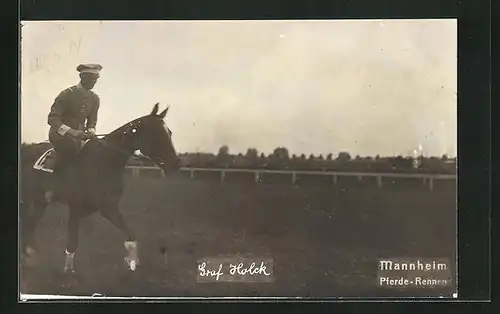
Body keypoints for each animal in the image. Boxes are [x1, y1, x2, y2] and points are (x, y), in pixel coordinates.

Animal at [19, 103, 181, 274]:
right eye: (156, 134)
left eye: (169, 132)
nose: (176, 163)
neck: (102, 162)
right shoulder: (76, 209)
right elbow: (73, 241)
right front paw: (68, 269)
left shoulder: (109, 208)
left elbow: (130, 234)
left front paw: (132, 261)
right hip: (27, 198)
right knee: (26, 223)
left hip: (40, 201)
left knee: (30, 224)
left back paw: (28, 254)